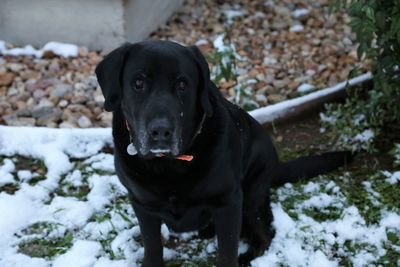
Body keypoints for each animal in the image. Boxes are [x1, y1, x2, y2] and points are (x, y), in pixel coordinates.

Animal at [95, 40, 352, 266]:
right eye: (138, 82)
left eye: (182, 84)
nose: (160, 131)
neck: (170, 166)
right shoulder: (142, 205)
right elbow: (152, 247)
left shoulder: (228, 203)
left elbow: (227, 252)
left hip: (250, 199)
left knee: (265, 234)